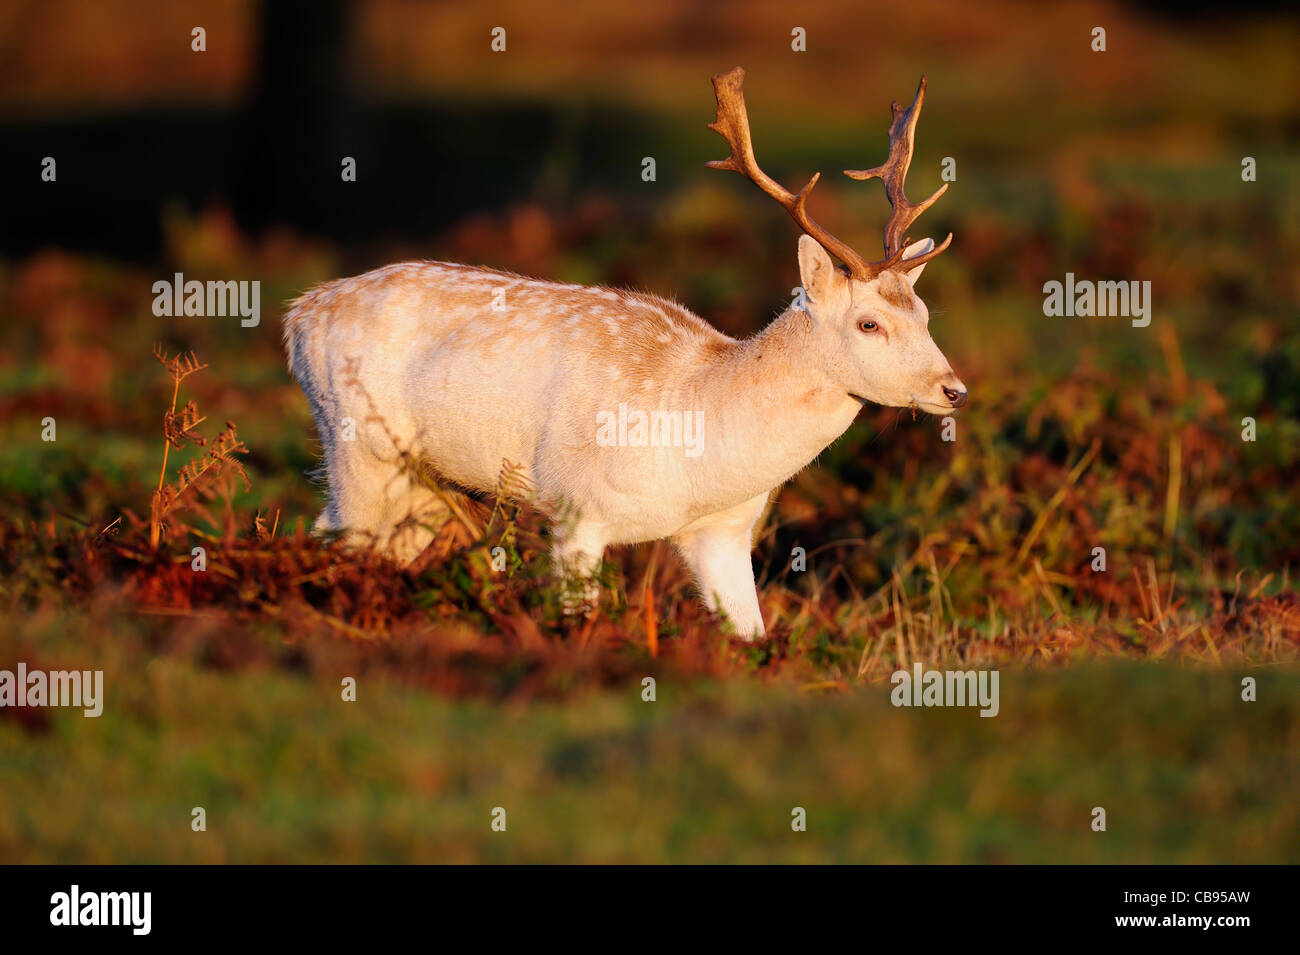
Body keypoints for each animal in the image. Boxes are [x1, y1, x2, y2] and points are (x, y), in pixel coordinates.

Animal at [284, 69, 967, 641]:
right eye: (869, 323)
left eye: (925, 314)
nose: (953, 389)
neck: (696, 442)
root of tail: (299, 313)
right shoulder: (574, 510)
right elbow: (575, 619)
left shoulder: (723, 532)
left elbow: (752, 635)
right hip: (357, 446)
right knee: (339, 535)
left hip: (424, 479)